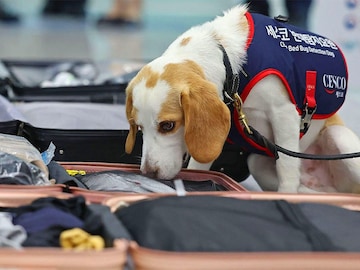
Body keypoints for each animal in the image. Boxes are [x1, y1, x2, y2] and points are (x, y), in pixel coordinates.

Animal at [125, 5, 360, 193]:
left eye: (168, 125)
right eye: (139, 127)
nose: (148, 173)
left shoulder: (284, 113)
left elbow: (287, 168)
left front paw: (287, 194)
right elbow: (199, 167)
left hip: (340, 139)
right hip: (258, 162)